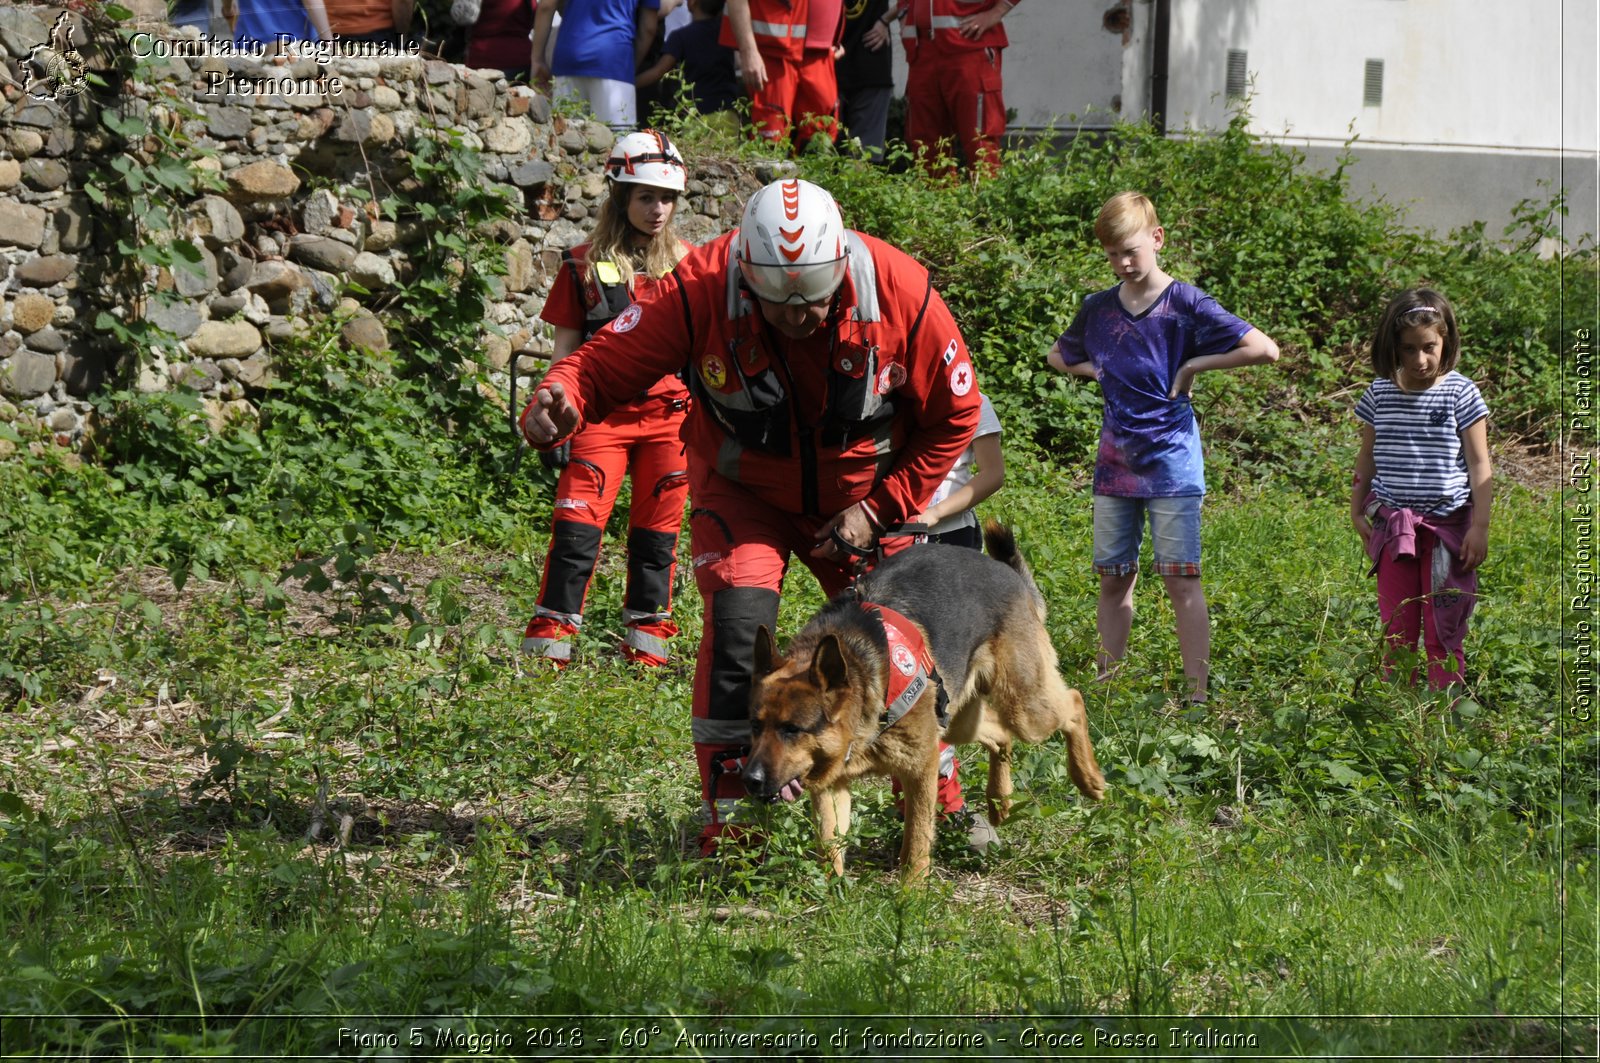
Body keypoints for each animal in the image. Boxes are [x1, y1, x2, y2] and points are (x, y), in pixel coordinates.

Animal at [745, 521, 1100, 877]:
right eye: (755, 726)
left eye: (792, 729)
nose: (750, 780)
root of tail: (1007, 572)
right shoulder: (831, 786)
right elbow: (829, 843)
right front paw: (832, 886)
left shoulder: (920, 768)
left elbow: (915, 843)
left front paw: (911, 888)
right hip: (958, 721)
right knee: (1001, 736)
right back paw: (1001, 801)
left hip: (1025, 709)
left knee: (1074, 702)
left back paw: (1089, 779)